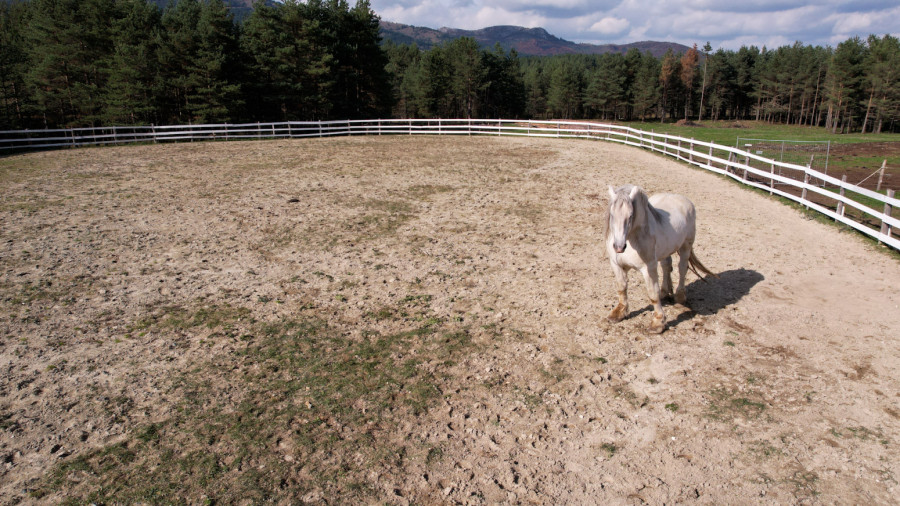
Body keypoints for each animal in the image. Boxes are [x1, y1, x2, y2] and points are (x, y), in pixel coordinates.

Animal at [604, 184, 717, 334]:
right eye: (612, 215)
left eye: (631, 215)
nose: (619, 247)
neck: (633, 238)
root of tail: (683, 199)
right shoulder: (616, 265)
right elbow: (622, 287)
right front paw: (619, 313)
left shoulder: (649, 268)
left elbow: (653, 293)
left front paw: (658, 323)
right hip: (666, 251)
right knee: (666, 266)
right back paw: (665, 292)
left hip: (686, 246)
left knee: (682, 269)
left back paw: (679, 296)